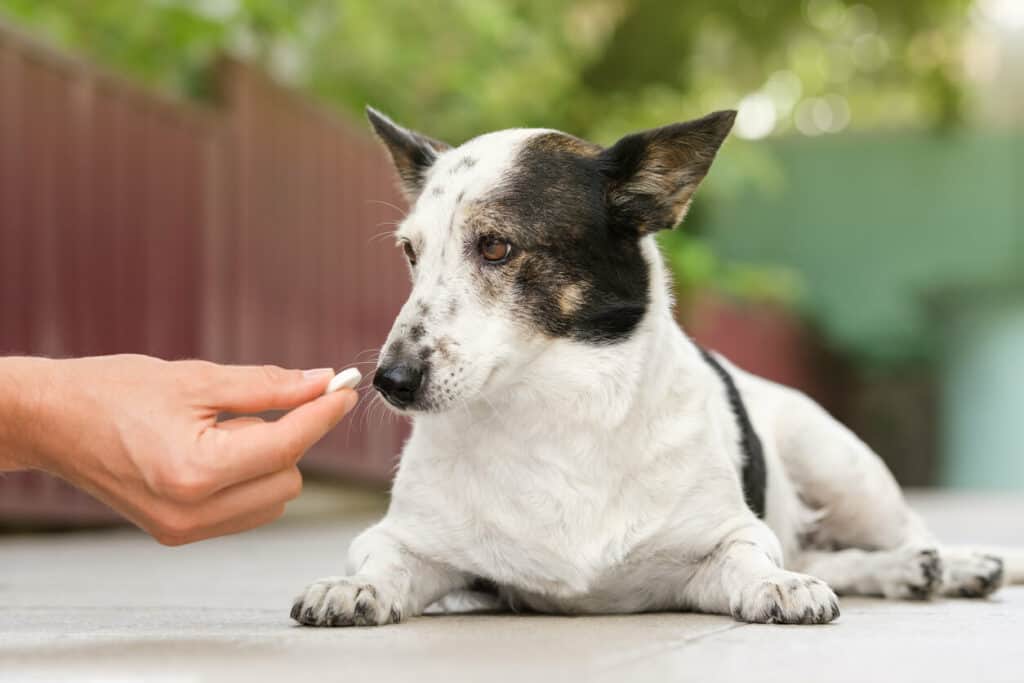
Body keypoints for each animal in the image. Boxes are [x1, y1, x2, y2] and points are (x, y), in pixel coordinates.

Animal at [288, 105, 1015, 626]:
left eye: (495, 247)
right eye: (410, 253)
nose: (390, 382)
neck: (554, 413)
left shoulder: (722, 544)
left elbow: (755, 557)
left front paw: (777, 585)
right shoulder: (414, 542)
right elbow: (380, 559)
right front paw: (353, 587)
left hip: (843, 466)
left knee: (903, 532)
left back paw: (960, 564)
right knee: (824, 551)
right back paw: (904, 572)